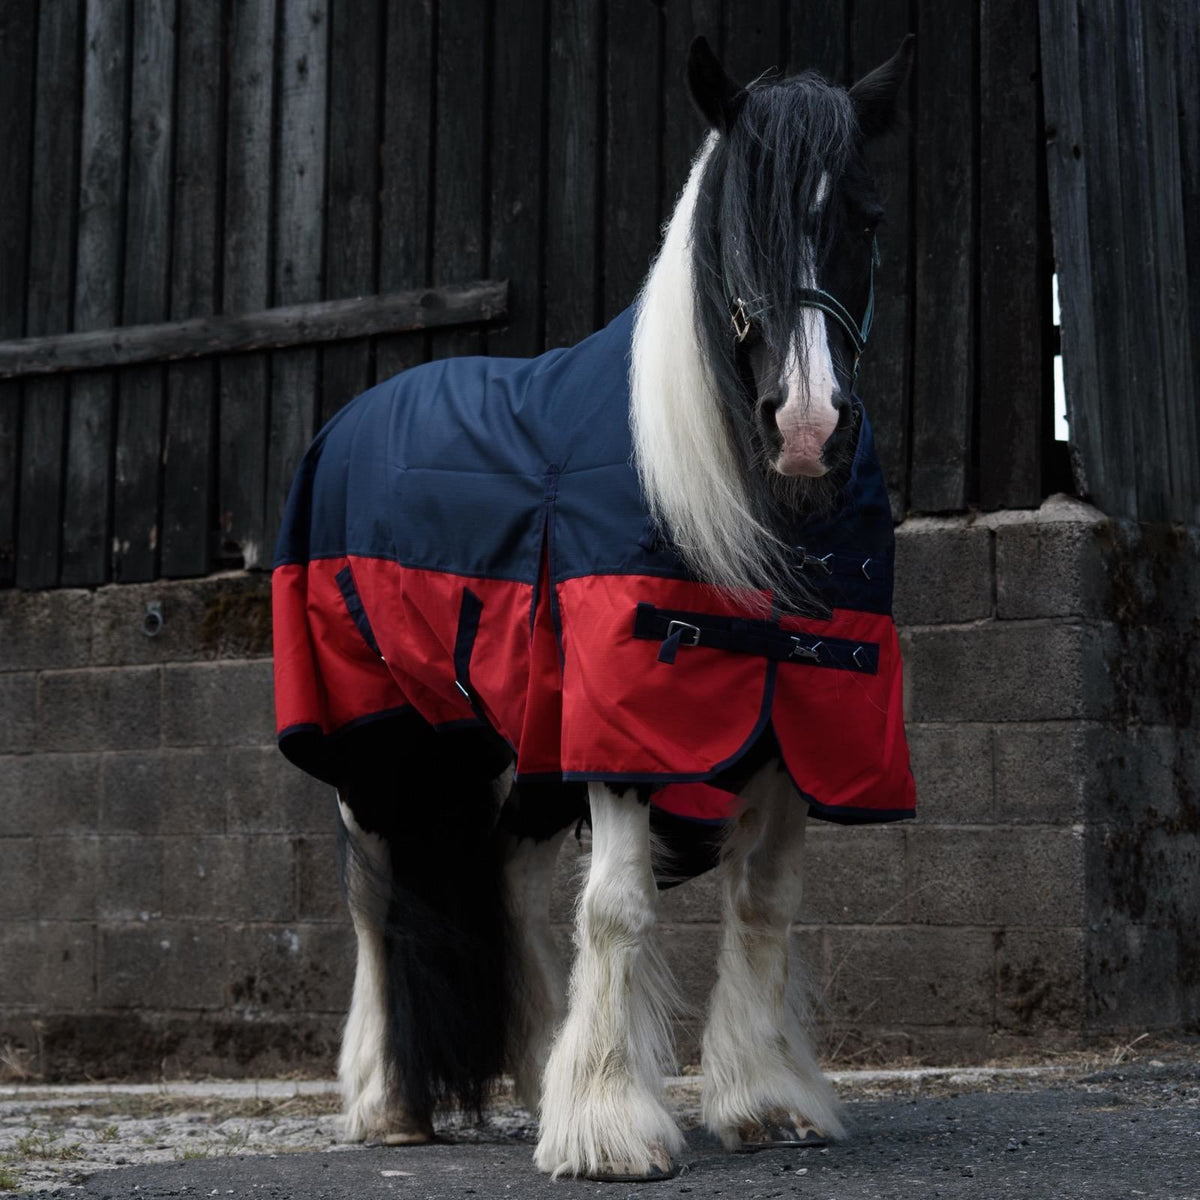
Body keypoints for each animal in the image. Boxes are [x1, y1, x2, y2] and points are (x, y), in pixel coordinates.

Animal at [271, 35, 916, 1181]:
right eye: (730, 234)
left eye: (867, 218)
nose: (805, 426)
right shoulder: (624, 722)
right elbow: (616, 908)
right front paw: (614, 1127)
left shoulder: (797, 723)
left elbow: (765, 904)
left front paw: (764, 1100)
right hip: (375, 745)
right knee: (375, 902)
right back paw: (387, 1102)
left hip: (513, 748)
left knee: (513, 893)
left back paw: (539, 1080)